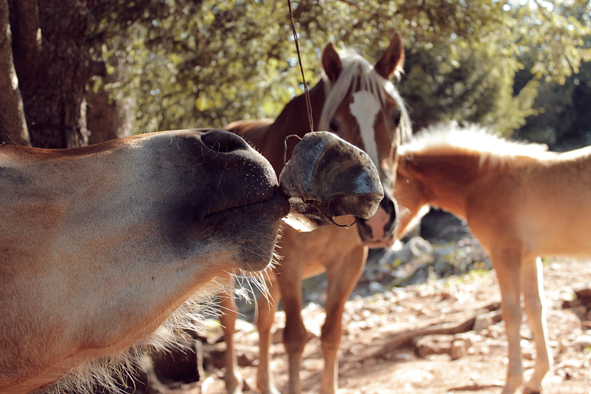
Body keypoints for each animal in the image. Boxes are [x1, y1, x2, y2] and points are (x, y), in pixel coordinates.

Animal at [222, 33, 412, 394]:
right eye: (335, 122)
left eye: (395, 116)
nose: (378, 219)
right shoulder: (289, 267)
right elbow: (295, 338)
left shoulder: (349, 264)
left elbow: (330, 335)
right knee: (229, 321)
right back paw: (232, 381)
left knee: (263, 323)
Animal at [394, 122, 591, 394]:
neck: (483, 183)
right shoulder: (528, 258)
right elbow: (535, 308)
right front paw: (535, 378)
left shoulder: (504, 254)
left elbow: (512, 313)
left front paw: (512, 382)